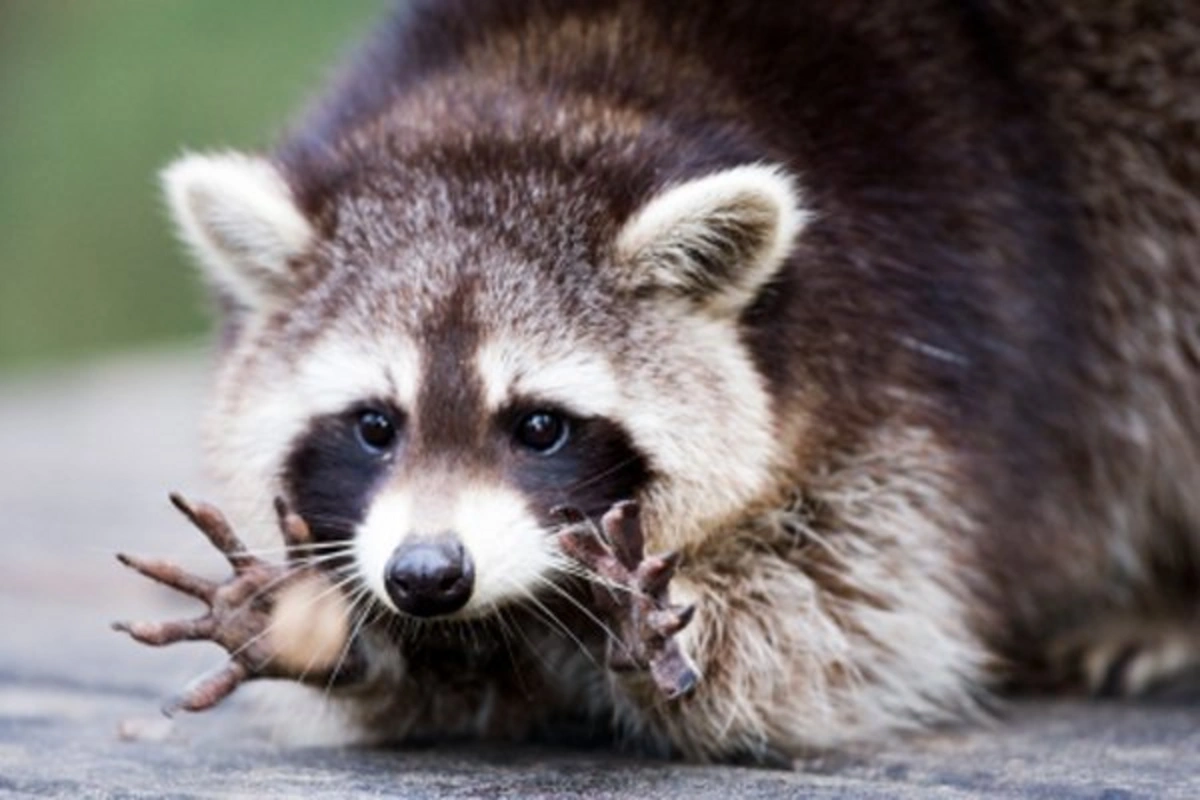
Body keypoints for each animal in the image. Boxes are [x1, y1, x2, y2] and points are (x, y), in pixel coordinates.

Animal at [142, 0, 1200, 762]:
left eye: (539, 427)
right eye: (374, 424)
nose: (428, 577)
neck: (551, 82)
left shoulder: (933, 345)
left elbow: (845, 622)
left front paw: (639, 633)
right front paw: (343, 630)